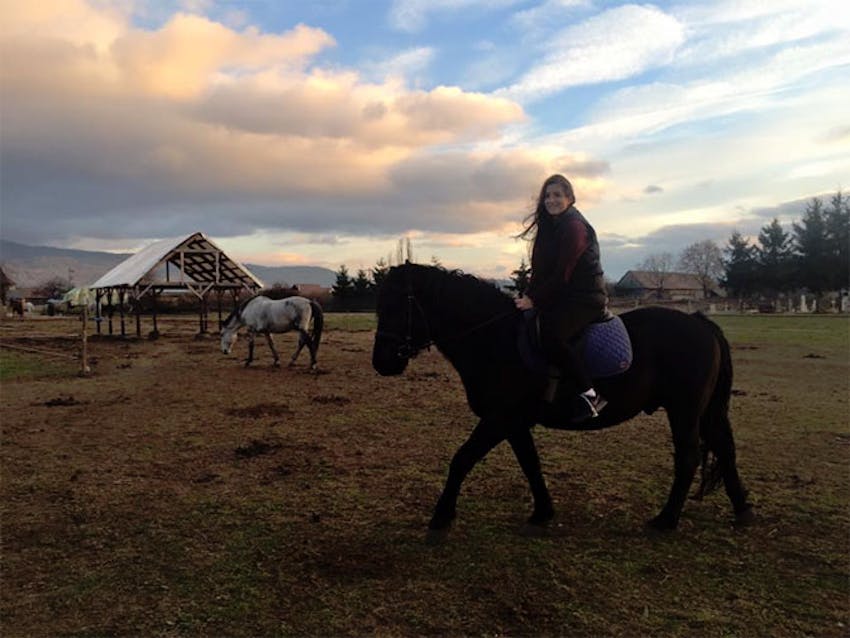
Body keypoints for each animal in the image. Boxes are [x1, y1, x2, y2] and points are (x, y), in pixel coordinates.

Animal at [372, 263, 754, 542]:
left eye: (397, 306)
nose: (382, 363)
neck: (495, 339)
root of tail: (699, 323)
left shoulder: (499, 419)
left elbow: (462, 459)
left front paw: (441, 518)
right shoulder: (514, 423)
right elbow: (530, 464)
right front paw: (542, 513)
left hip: (684, 410)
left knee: (688, 457)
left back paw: (666, 519)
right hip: (703, 411)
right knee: (724, 449)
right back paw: (743, 511)